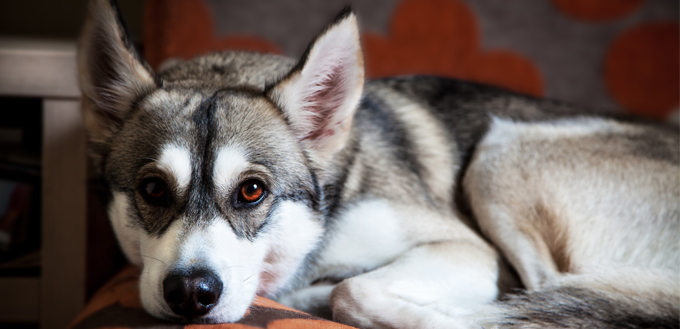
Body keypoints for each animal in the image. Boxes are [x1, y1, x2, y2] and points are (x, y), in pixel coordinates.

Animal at [77, 1, 676, 326]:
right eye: (153, 190)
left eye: (251, 191)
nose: (190, 294)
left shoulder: (469, 249)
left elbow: (353, 291)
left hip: (501, 156)